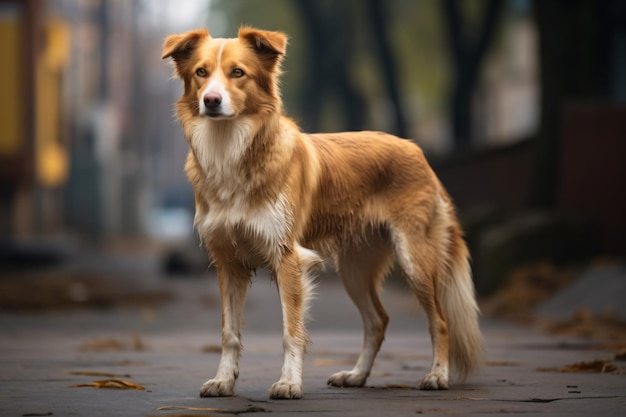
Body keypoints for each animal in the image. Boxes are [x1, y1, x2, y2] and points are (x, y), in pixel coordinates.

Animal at [162, 26, 482, 400]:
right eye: (201, 72)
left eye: (237, 72)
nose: (211, 100)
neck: (232, 151)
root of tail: (416, 150)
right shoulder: (228, 263)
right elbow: (230, 334)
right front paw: (224, 381)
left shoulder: (287, 258)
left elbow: (291, 332)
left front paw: (289, 383)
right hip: (354, 269)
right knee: (378, 321)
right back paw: (356, 376)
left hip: (414, 258)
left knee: (440, 321)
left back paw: (437, 375)